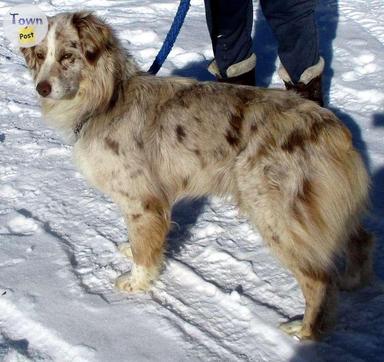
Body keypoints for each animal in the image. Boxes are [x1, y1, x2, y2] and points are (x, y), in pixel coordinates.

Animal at [20, 11, 372, 340]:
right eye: (40, 55)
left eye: (68, 56)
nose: (42, 88)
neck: (108, 98)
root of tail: (330, 126)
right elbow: (142, 242)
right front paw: (132, 251)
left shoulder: (143, 201)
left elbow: (144, 251)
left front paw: (136, 283)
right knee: (362, 237)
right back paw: (353, 280)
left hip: (276, 216)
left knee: (318, 279)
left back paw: (305, 331)